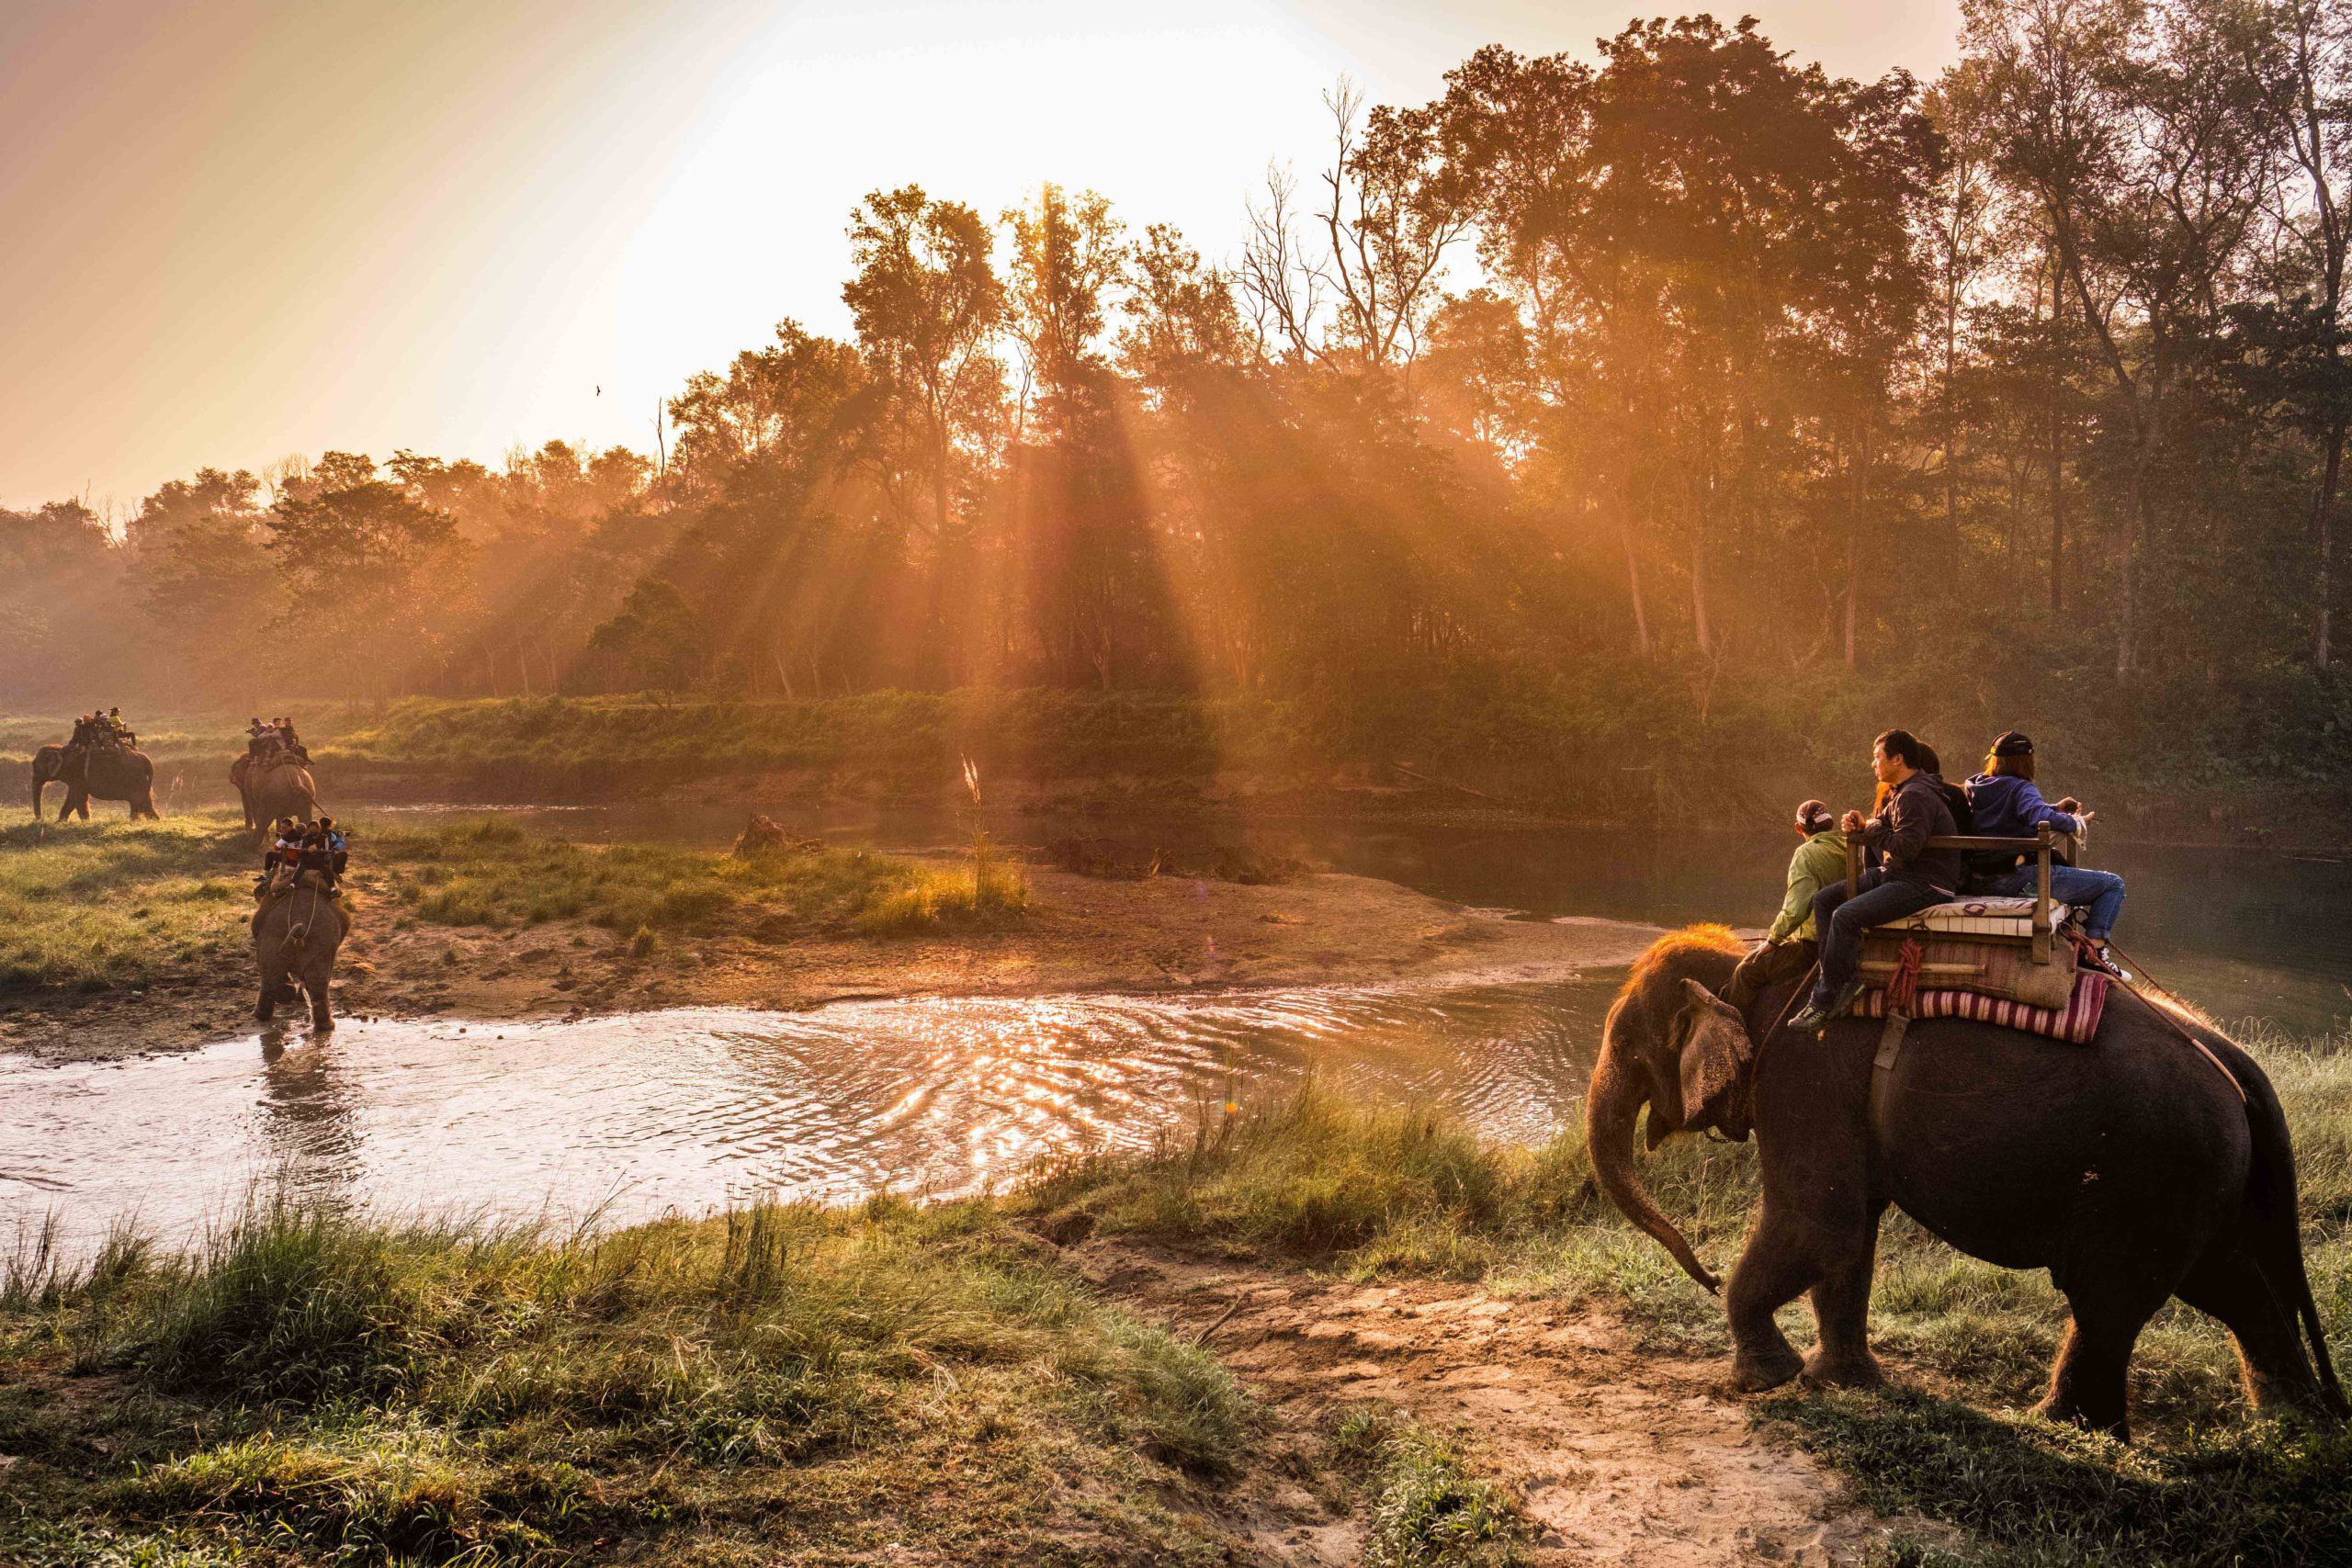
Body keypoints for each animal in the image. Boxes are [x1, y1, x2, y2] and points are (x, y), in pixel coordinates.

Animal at [32, 747, 160, 822]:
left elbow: (78, 798)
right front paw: (60, 823)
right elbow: (73, 799)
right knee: (146, 804)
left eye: (35, 766)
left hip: (136, 780)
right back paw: (154, 821)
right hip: (142, 782)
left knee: (137, 803)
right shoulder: (77, 779)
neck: (61, 750)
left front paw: (85, 822)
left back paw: (134, 822)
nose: (40, 820)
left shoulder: (78, 776)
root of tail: (146, 760)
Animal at [1589, 926, 2342, 1438]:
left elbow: (1817, 1225)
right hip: (2201, 1181)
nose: (1706, 1273)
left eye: (1628, 1048)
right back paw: (2292, 1428)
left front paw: (1762, 1381)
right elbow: (1851, 1236)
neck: (1747, 962)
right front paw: (1841, 1381)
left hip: (2155, 1175)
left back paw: (2064, 1427)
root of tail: (2237, 1063)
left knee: (2111, 1301)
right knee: (2231, 1282)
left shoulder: (1802, 1073)